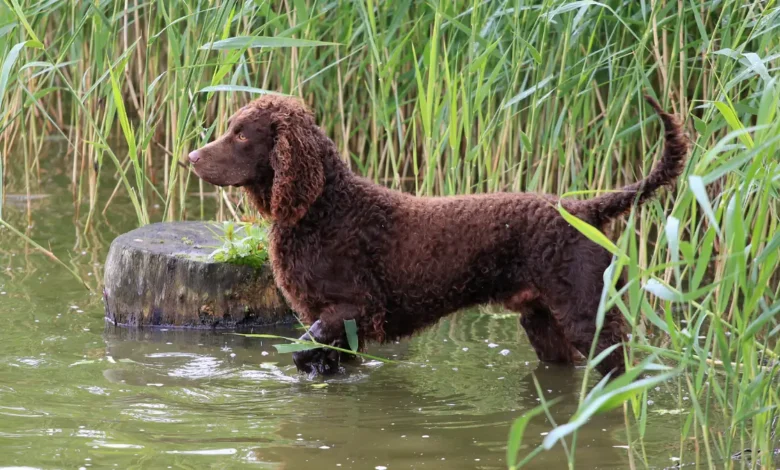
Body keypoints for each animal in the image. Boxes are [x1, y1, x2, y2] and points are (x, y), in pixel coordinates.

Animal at [190, 93, 688, 376]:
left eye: (241, 135)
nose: (191, 157)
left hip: (588, 316)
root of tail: (584, 208)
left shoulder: (354, 309)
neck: (324, 208)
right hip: (543, 322)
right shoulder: (340, 324)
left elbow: (301, 351)